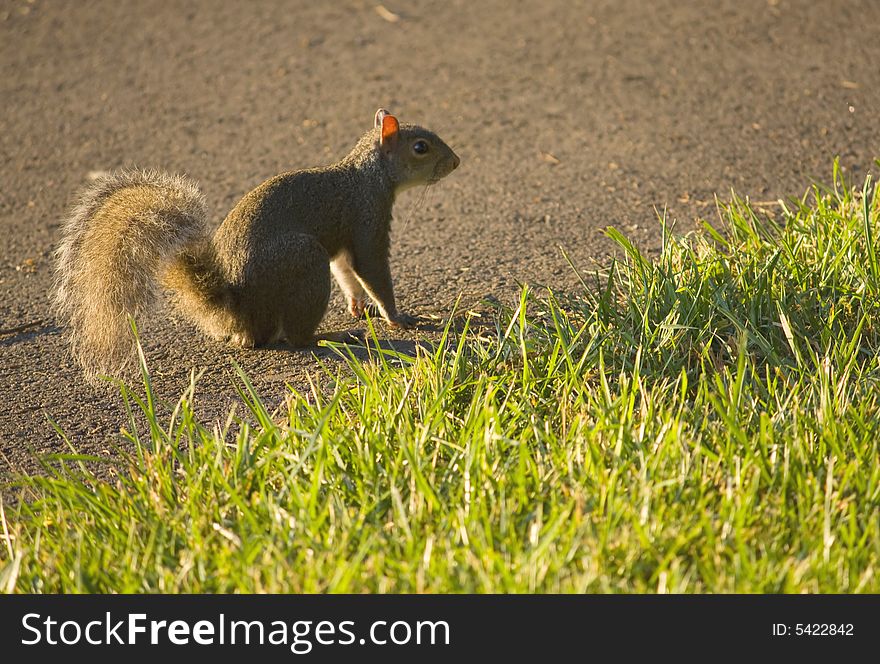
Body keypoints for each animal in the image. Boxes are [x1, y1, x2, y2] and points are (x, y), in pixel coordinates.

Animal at [55, 108, 460, 378]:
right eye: (421, 147)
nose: (456, 162)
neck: (367, 176)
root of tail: (240, 312)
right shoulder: (366, 218)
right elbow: (371, 269)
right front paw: (397, 317)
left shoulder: (346, 241)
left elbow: (347, 272)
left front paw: (358, 305)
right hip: (304, 261)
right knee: (296, 338)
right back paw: (334, 335)